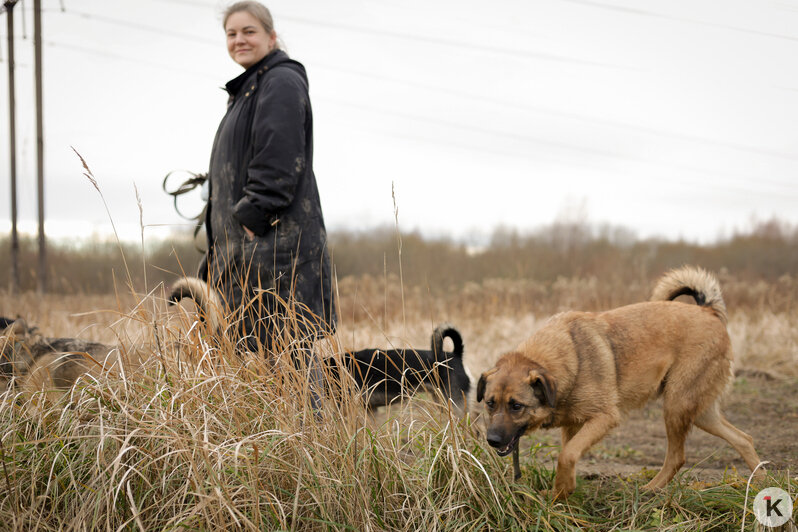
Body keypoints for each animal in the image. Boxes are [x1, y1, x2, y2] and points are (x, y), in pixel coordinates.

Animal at [478, 266, 764, 498]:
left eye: (516, 406)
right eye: (490, 404)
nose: (492, 440)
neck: (565, 357)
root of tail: (708, 311)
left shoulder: (604, 417)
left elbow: (566, 455)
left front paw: (561, 491)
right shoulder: (573, 425)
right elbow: (569, 453)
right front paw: (563, 490)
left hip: (677, 405)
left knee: (677, 457)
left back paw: (651, 489)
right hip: (699, 411)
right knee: (744, 439)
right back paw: (761, 484)